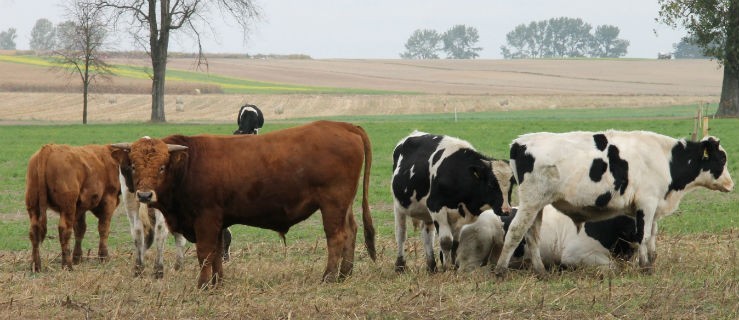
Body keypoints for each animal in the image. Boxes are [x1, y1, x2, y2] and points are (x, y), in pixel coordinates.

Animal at [25, 144, 122, 272]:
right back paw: (67, 265)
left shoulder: (80, 207)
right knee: (64, 230)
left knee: (34, 231)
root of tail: (49, 148)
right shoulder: (108, 201)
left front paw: (77, 257)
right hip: (68, 207)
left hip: (34, 207)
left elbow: (80, 229)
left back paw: (36, 266)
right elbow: (103, 229)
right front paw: (103, 256)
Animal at [111, 119, 376, 288]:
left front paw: (203, 284)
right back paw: (345, 274)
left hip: (332, 204)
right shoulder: (217, 221)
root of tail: (343, 125)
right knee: (351, 231)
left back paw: (329, 277)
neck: (189, 164)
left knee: (336, 237)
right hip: (344, 204)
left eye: (162, 166)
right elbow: (217, 253)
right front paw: (217, 283)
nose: (145, 196)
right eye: (133, 165)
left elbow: (205, 252)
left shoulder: (206, 218)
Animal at [394, 130, 516, 272]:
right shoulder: (436, 207)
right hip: (399, 206)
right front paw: (447, 269)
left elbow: (455, 243)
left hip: (427, 214)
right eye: (491, 183)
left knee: (427, 235)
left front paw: (453, 266)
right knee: (401, 233)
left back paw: (431, 266)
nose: (506, 210)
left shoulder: (459, 217)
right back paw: (400, 265)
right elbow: (446, 241)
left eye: (512, 184)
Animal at [494, 132, 732, 278]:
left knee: (532, 235)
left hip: (538, 206)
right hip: (530, 202)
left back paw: (541, 272)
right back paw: (500, 270)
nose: (731, 184)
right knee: (515, 232)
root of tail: (521, 142)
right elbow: (643, 236)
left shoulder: (653, 207)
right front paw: (645, 268)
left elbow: (652, 237)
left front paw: (651, 262)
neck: (666, 159)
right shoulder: (646, 203)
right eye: (721, 159)